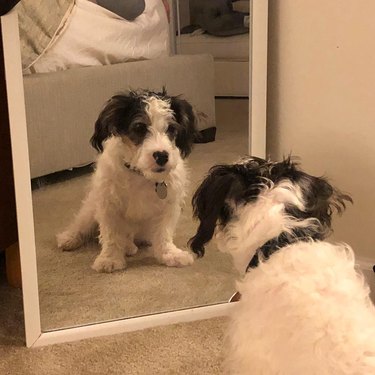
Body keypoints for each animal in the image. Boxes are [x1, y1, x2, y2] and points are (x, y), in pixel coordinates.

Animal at [57, 91, 198, 274]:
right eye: (139, 127)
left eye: (171, 129)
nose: (162, 156)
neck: (140, 175)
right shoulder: (109, 205)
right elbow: (111, 235)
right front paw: (109, 259)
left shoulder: (168, 204)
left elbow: (163, 233)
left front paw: (170, 254)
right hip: (90, 209)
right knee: (81, 224)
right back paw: (69, 238)